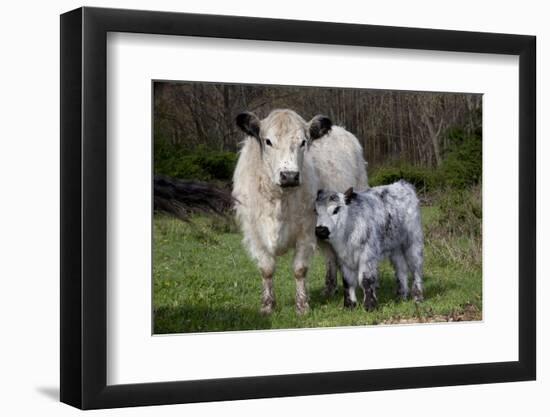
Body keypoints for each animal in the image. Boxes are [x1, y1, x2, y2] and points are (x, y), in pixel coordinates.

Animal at [234, 109, 370, 314]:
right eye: (268, 141)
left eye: (303, 142)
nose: (289, 175)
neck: (280, 201)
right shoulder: (255, 233)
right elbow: (266, 269)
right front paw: (267, 306)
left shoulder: (306, 232)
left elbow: (300, 269)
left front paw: (302, 306)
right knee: (331, 256)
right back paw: (329, 289)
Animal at [314, 180, 426, 310]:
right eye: (316, 212)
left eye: (336, 210)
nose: (320, 230)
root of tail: (402, 184)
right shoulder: (343, 258)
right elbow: (347, 281)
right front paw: (349, 305)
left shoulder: (367, 255)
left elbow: (366, 279)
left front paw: (370, 305)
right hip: (395, 247)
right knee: (401, 269)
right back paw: (401, 296)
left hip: (413, 241)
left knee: (416, 268)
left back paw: (418, 297)